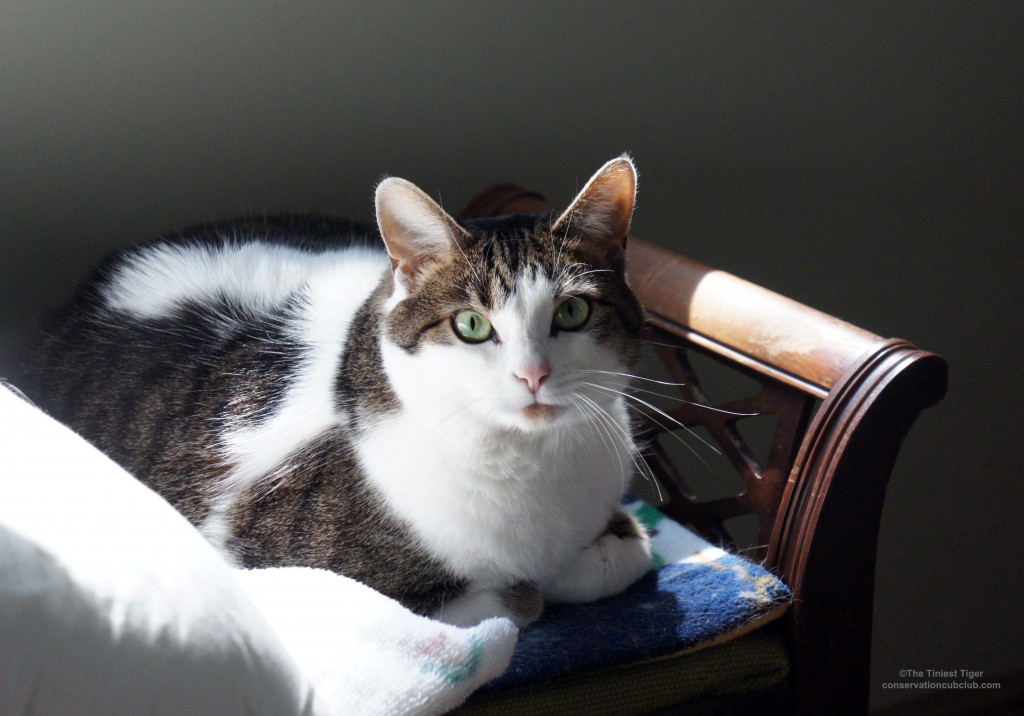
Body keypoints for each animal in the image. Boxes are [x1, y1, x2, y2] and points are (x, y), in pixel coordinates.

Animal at [28, 156, 651, 626]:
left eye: (571, 312)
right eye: (471, 325)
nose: (532, 374)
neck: (534, 465)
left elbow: (628, 551)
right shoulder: (287, 566)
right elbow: (512, 601)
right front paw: (538, 583)